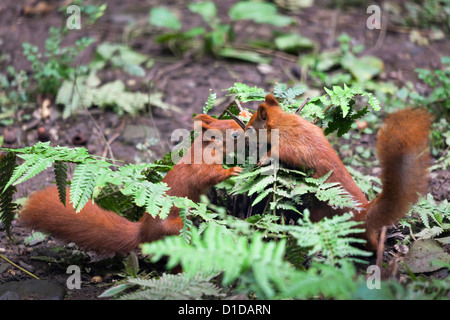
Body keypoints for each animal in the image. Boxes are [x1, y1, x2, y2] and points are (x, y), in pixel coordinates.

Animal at [18, 115, 243, 255]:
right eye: (234, 134)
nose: (246, 124)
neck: (204, 148)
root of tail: (143, 232)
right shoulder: (199, 167)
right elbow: (207, 177)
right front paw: (232, 171)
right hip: (173, 228)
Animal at [246, 94, 432, 251]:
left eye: (250, 128)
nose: (243, 136)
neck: (282, 122)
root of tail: (363, 214)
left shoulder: (291, 144)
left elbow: (280, 153)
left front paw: (264, 158)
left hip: (323, 213)